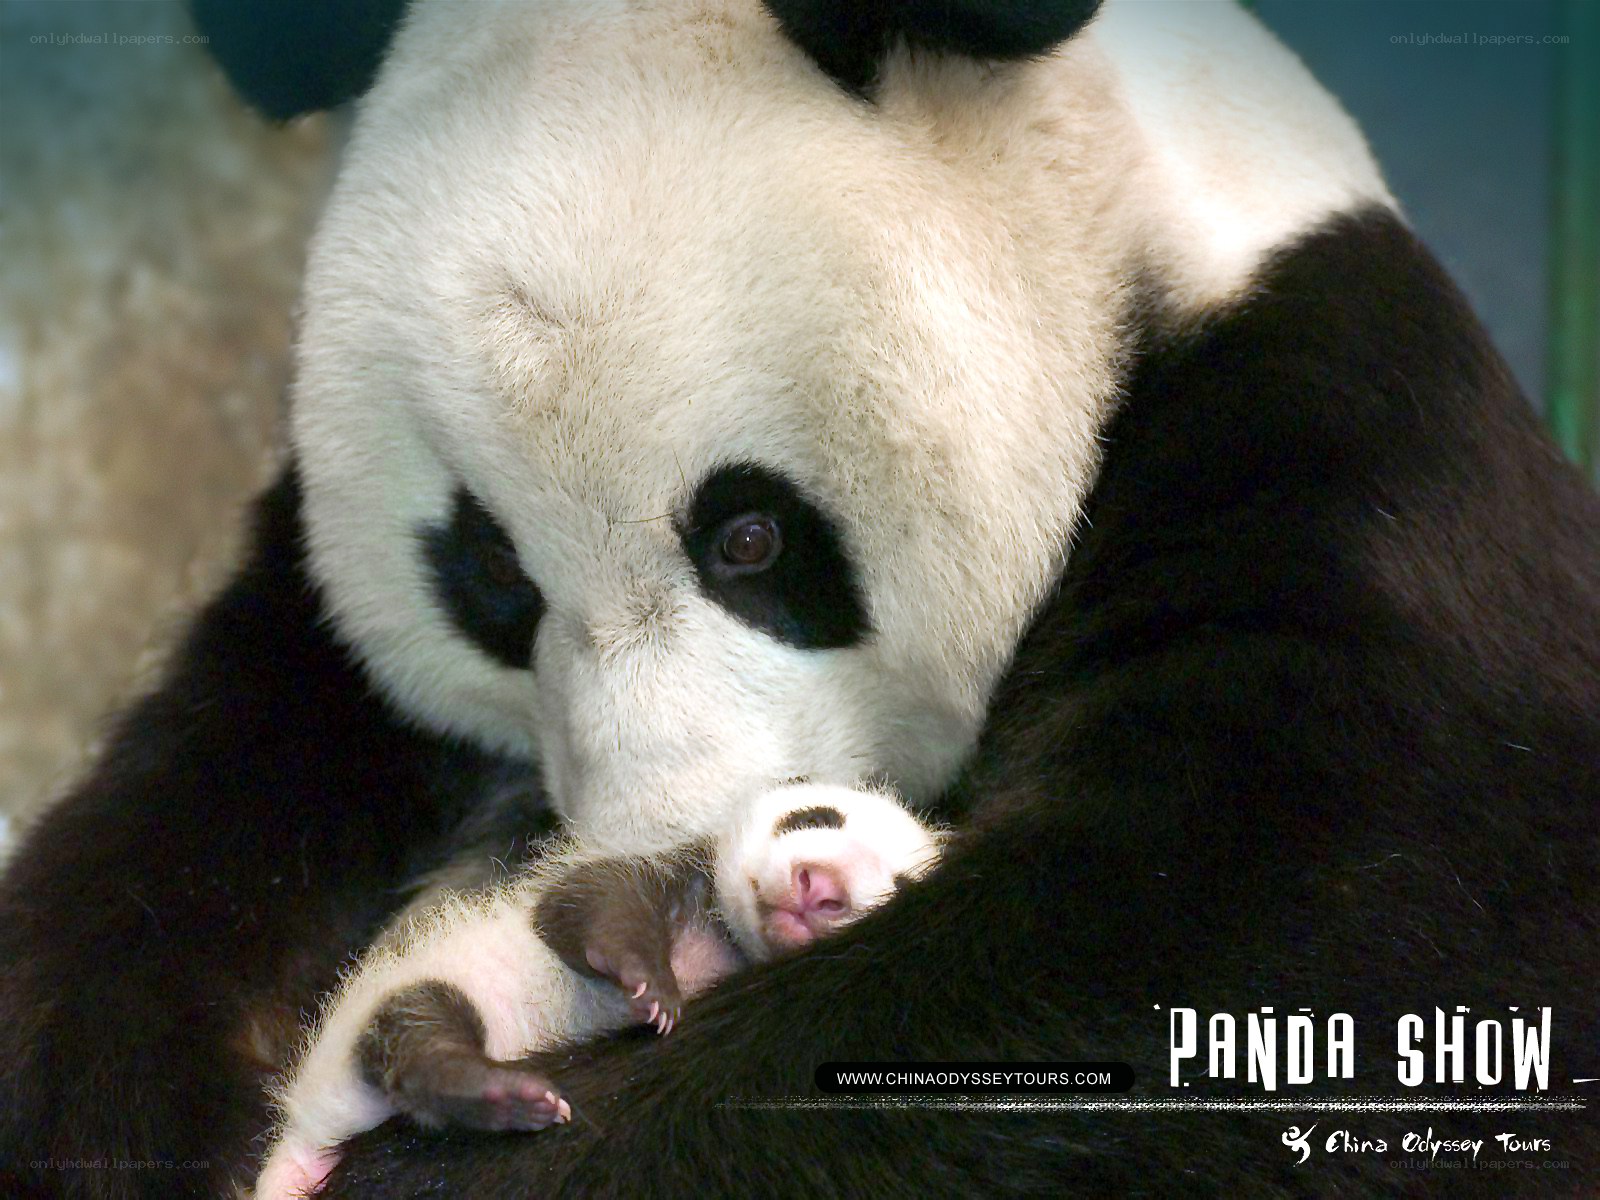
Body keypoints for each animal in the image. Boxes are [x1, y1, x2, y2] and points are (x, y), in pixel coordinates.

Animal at [1, 1, 1597, 1197]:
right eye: (491, 573)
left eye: (751, 538)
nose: (659, 844)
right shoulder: (309, 657)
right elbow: (164, 869)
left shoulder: (1348, 480)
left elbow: (1252, 954)